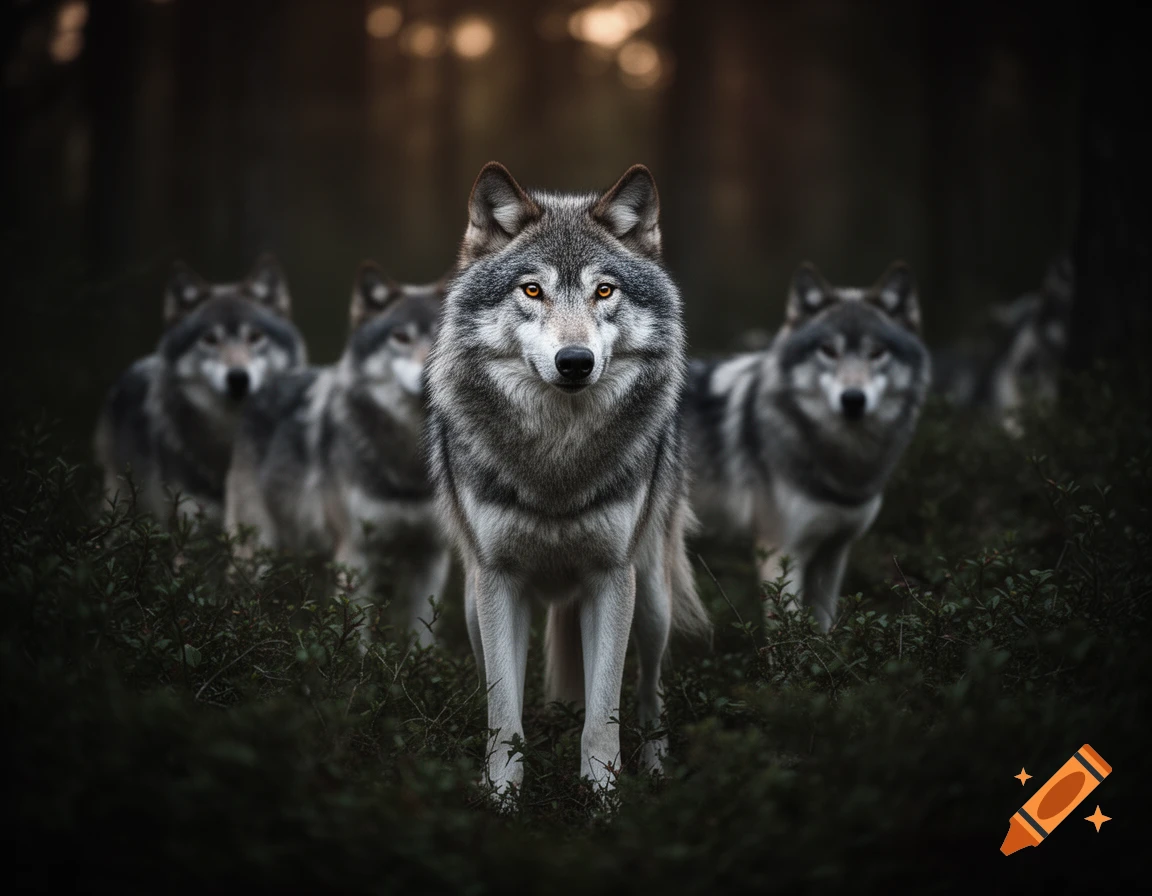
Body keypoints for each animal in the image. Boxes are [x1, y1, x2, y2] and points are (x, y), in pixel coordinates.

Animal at [225, 263, 449, 647]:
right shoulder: (355, 556)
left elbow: (422, 639)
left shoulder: (431, 560)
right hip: (256, 552)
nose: (427, 376)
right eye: (400, 337)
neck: (408, 467)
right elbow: (354, 636)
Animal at [425, 162, 711, 795]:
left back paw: (657, 770)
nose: (575, 362)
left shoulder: (611, 577)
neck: (557, 459)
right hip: (471, 606)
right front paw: (501, 798)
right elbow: (503, 716)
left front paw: (603, 799)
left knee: (650, 693)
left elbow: (603, 722)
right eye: (532, 290)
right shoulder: (498, 582)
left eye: (604, 290)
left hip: (651, 599)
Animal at [685, 261, 931, 634]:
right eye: (828, 350)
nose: (853, 400)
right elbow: (789, 633)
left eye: (877, 353)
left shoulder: (833, 552)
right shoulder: (779, 552)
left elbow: (822, 628)